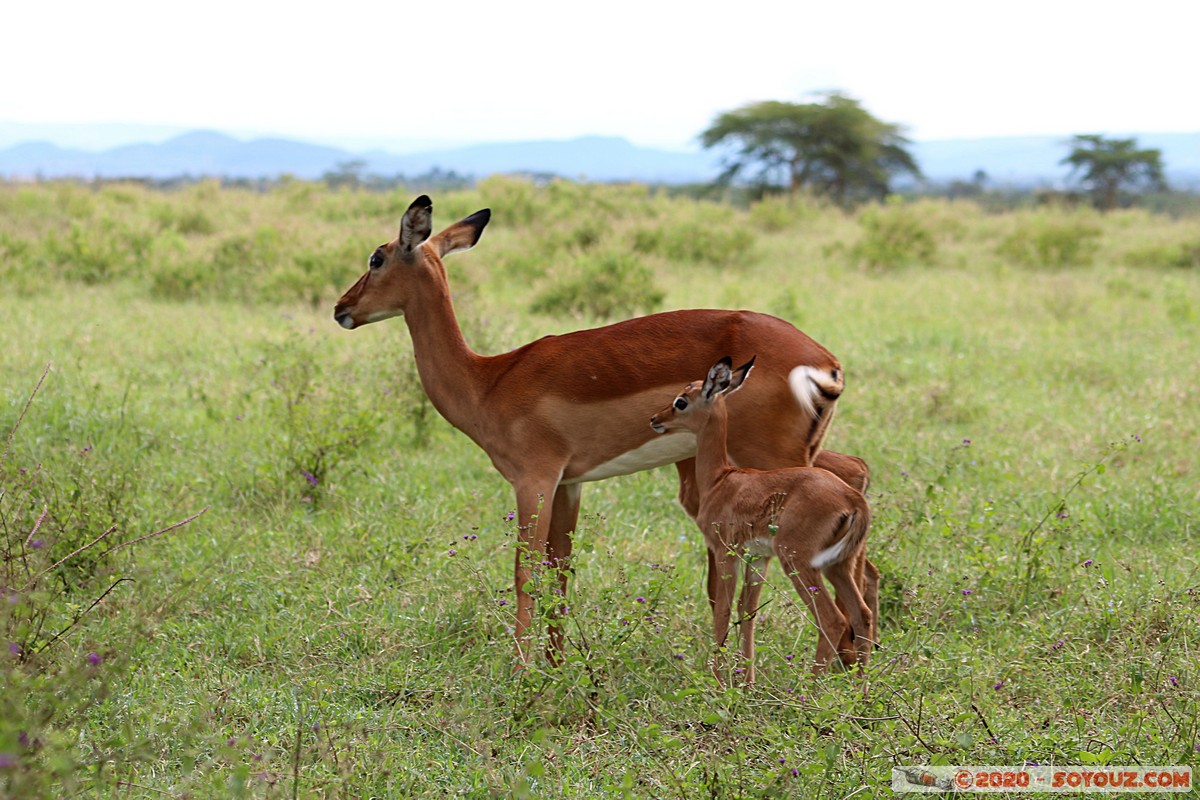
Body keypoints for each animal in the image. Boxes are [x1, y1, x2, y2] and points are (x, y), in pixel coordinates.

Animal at [649, 357, 874, 680]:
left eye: (681, 401)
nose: (655, 419)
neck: (720, 480)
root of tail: (853, 500)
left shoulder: (725, 552)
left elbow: (723, 609)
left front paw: (718, 682)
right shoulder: (758, 558)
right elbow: (748, 611)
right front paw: (746, 682)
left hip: (798, 562)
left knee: (833, 619)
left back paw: (810, 687)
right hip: (837, 565)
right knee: (861, 615)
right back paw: (860, 687)